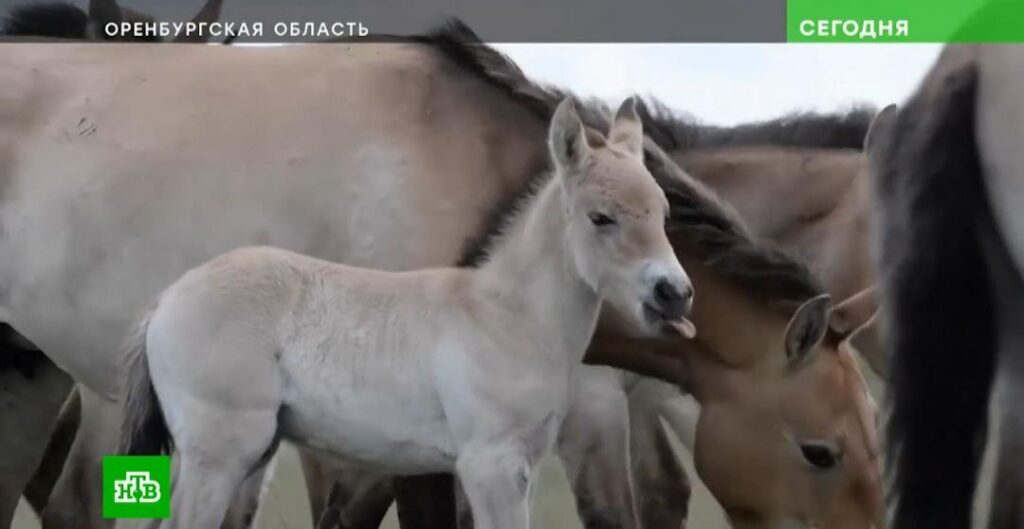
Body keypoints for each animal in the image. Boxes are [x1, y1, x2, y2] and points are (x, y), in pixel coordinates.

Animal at [119, 95, 696, 527]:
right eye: (601, 218)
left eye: (663, 213)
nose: (675, 293)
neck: (508, 319)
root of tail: (167, 299)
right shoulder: (490, 465)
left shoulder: (523, 468)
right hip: (218, 457)